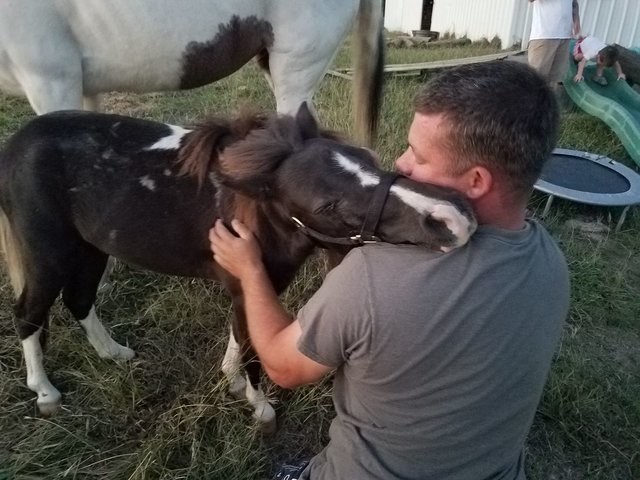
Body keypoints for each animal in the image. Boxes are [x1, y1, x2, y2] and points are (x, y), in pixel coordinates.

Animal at [0, 104, 476, 432]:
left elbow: (240, 335)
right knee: (30, 313)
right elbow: (252, 349)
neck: (250, 213)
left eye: (367, 159)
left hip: (91, 248)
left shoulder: (245, 285)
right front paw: (259, 406)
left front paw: (231, 382)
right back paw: (45, 391)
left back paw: (113, 352)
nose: (453, 217)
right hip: (49, 254)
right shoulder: (249, 284)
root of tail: (17, 143)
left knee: (80, 299)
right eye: (328, 205)